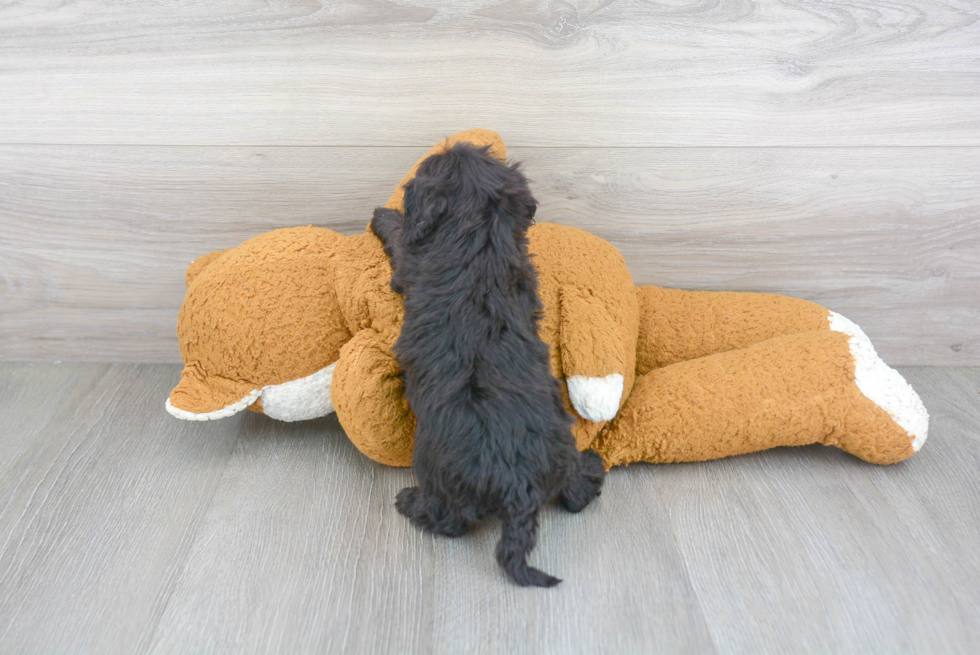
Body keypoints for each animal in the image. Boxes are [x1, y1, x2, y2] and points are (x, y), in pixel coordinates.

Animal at [372, 145, 604, 588]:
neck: (480, 238)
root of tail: (520, 488)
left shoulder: (410, 265)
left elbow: (400, 239)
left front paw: (383, 215)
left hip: (435, 468)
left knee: (448, 520)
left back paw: (410, 502)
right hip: (561, 452)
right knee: (576, 495)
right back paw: (593, 468)